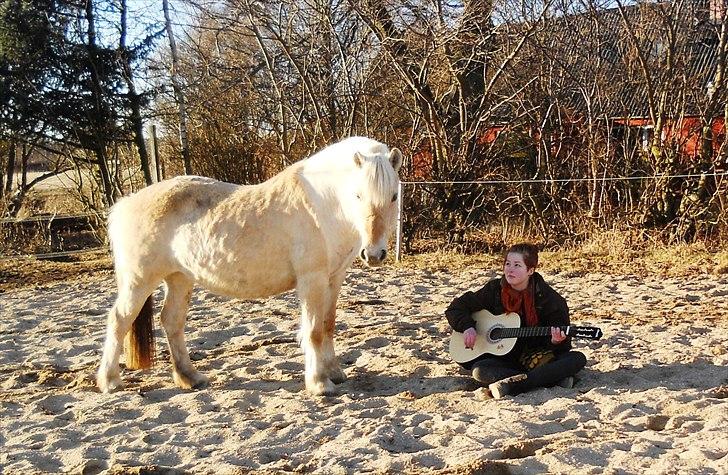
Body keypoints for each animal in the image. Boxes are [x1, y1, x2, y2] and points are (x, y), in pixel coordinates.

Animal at [95, 136, 404, 396]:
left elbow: (328, 325)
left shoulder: (334, 278)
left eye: (393, 196)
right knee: (119, 320)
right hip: (140, 280)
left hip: (179, 277)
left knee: (171, 321)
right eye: (357, 195)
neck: (323, 205)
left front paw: (335, 373)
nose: (374, 254)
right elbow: (314, 331)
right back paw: (110, 381)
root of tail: (124, 204)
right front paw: (319, 384)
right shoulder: (312, 280)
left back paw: (190, 378)